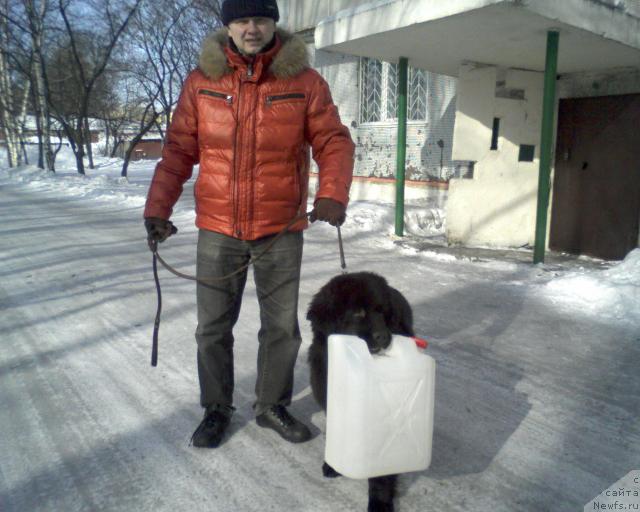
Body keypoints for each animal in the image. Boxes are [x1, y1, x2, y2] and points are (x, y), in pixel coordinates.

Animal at [306, 270, 416, 510]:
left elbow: (381, 472)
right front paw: (333, 464)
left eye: (382, 312)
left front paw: (380, 501)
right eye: (358, 312)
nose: (384, 336)